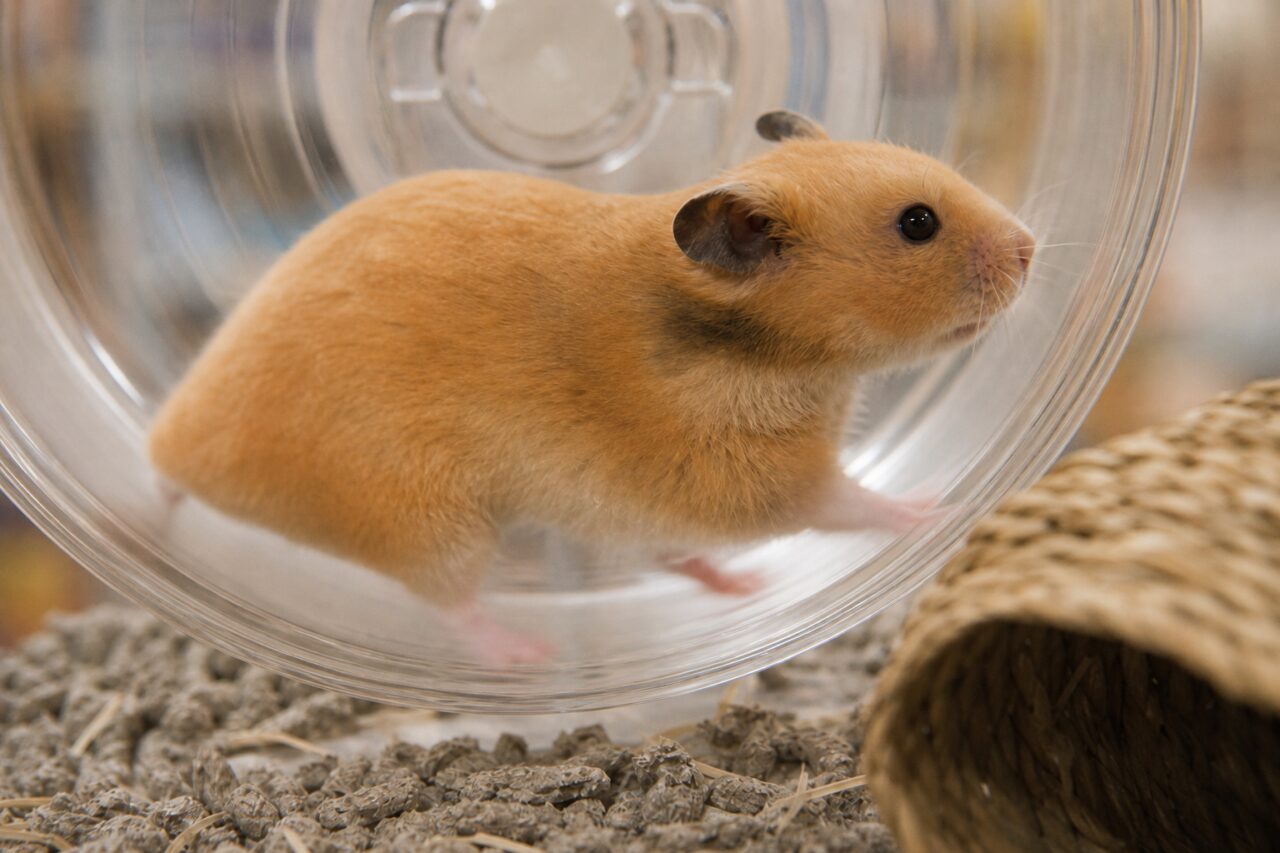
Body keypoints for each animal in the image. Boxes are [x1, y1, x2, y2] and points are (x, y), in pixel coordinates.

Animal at [149, 110, 1033, 663]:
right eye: (917, 223)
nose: (1030, 247)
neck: (767, 353)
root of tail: (176, 443)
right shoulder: (753, 475)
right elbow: (849, 500)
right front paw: (938, 509)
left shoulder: (647, 507)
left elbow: (683, 545)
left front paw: (746, 582)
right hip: (433, 517)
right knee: (449, 602)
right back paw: (525, 655)